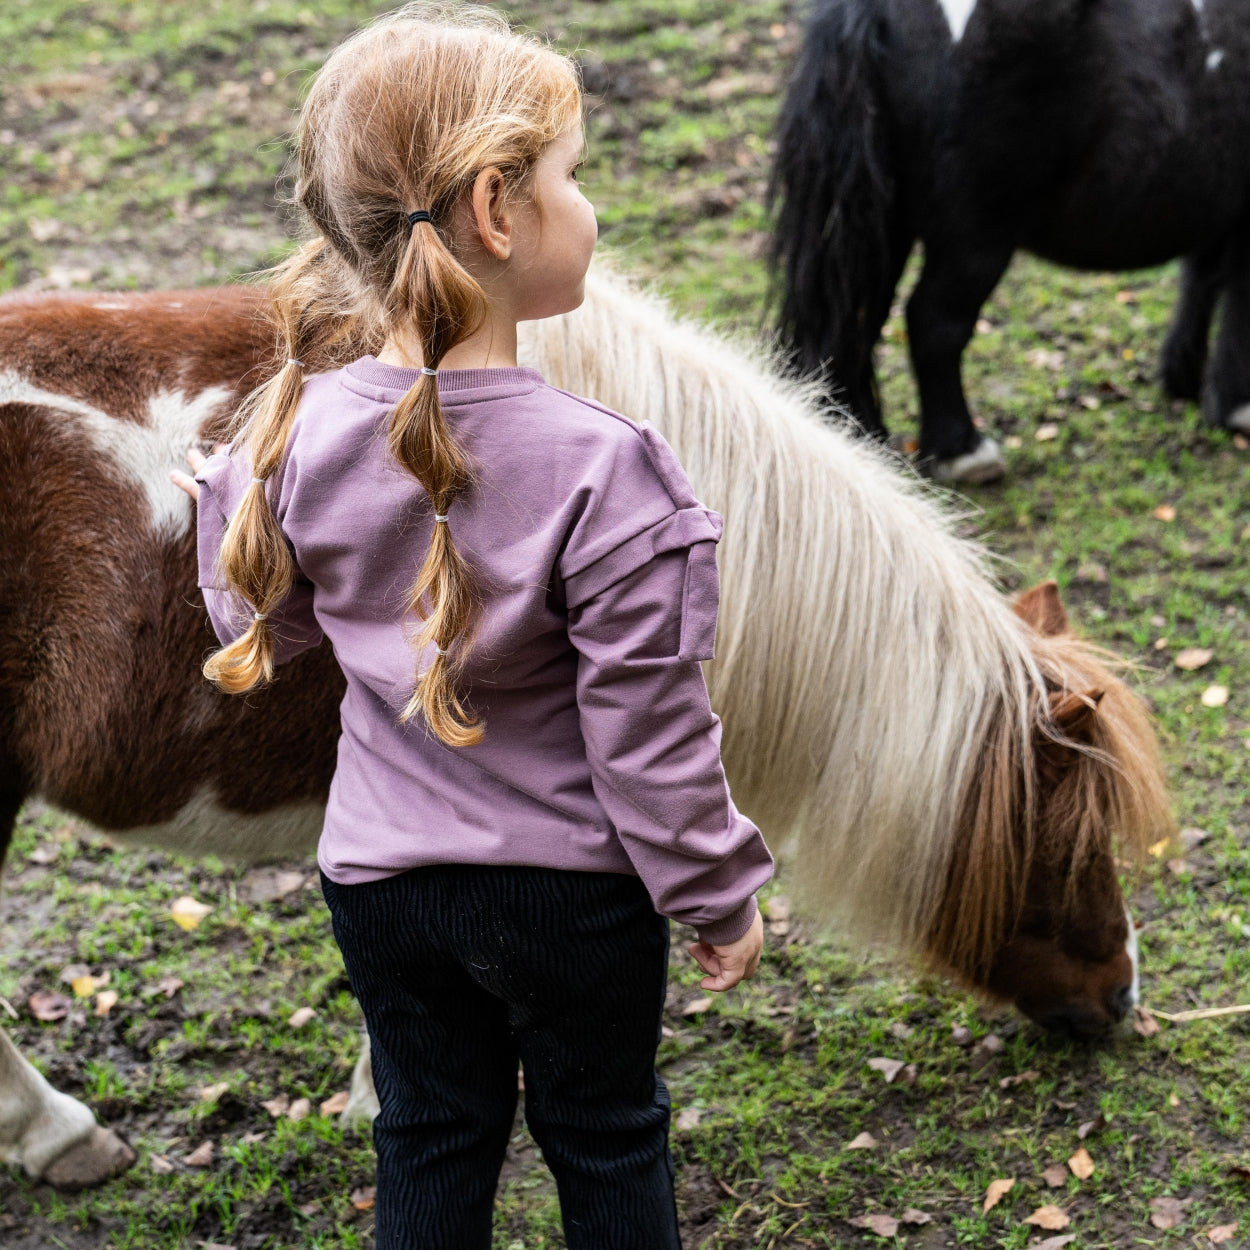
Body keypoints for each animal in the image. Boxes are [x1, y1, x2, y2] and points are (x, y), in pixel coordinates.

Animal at [770, 0, 1250, 482]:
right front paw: (1233, 404)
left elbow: (1202, 279)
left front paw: (1185, 376)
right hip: (976, 233)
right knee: (933, 323)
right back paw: (962, 451)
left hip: (881, 219)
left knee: (851, 325)